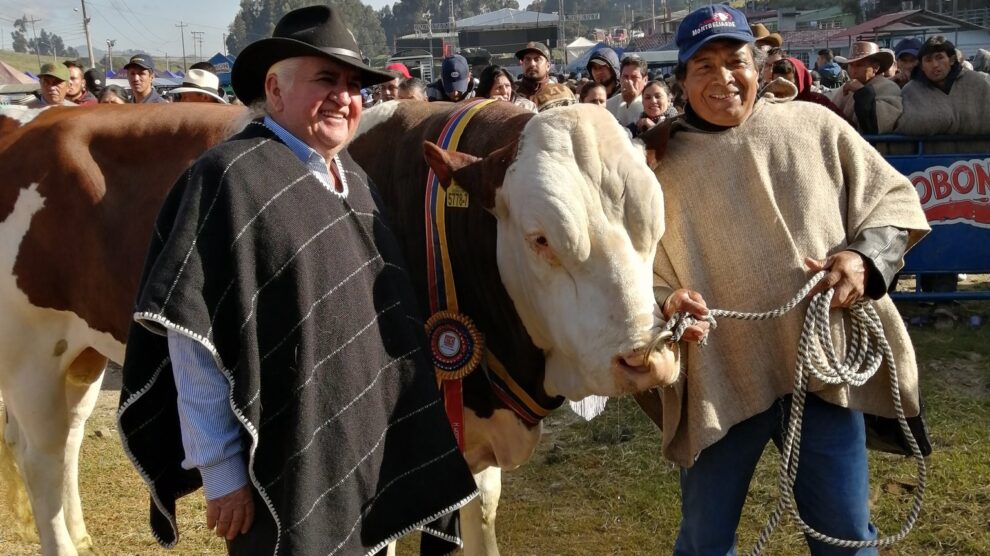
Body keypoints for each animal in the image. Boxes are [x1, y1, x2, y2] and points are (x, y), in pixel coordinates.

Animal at [0, 102, 676, 552]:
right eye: (541, 240)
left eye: (655, 226)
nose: (649, 358)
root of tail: (31, 127)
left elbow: (481, 508)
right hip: (30, 355)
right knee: (39, 457)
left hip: (81, 355)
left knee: (67, 440)